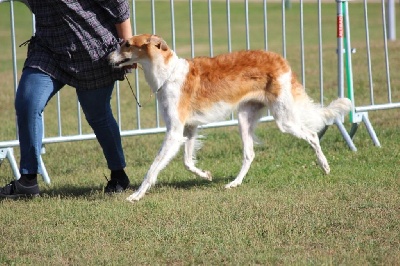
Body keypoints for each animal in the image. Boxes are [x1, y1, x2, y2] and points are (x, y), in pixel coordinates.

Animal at [108, 33, 350, 202]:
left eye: (127, 44)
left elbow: (153, 168)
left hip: (284, 119)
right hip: (244, 118)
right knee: (250, 154)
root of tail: (280, 60)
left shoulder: (174, 132)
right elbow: (187, 162)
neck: (168, 75)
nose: (106, 57)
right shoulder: (189, 128)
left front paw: (136, 195)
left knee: (312, 135)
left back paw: (325, 166)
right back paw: (235, 183)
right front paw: (206, 175)